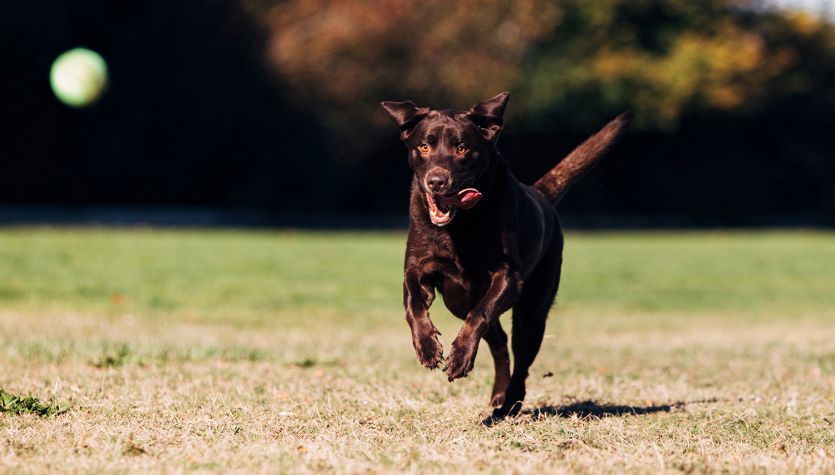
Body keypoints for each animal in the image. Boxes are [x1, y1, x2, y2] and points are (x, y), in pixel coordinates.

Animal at [382, 91, 632, 418]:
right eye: (424, 146)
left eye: (462, 148)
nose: (436, 181)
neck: (462, 226)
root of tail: (541, 194)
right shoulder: (417, 270)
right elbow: (413, 303)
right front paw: (428, 347)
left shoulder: (508, 278)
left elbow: (480, 315)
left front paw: (458, 358)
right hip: (457, 301)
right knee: (498, 341)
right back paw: (498, 394)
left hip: (533, 311)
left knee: (520, 356)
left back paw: (509, 401)